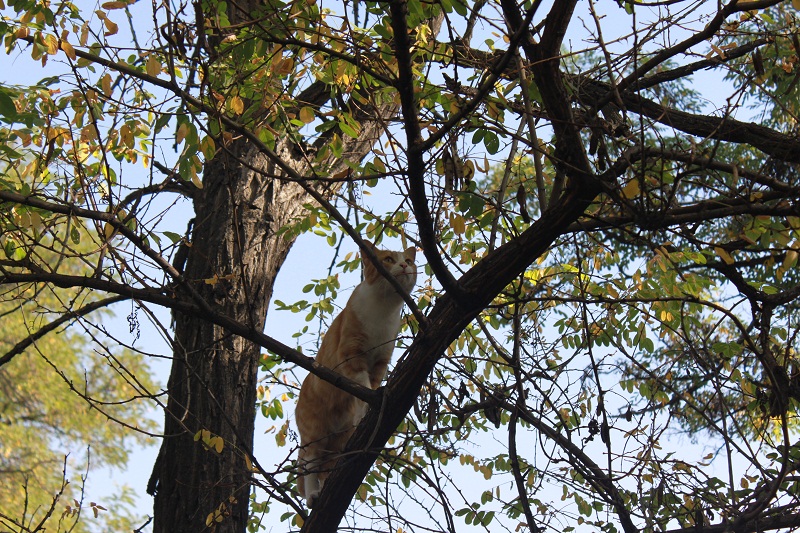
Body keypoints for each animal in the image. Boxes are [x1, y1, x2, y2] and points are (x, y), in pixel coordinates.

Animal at [294, 241, 418, 508]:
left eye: (408, 261)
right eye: (389, 259)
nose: (404, 266)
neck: (382, 311)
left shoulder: (381, 363)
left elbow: (372, 385)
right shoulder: (351, 356)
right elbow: (362, 388)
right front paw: (365, 408)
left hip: (339, 443)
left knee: (326, 468)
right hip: (315, 433)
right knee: (311, 464)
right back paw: (313, 495)